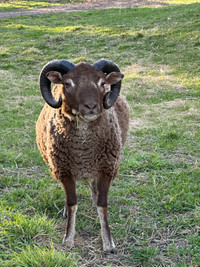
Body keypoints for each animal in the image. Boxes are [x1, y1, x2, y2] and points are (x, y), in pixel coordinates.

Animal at [35, 58, 130, 253]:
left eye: (102, 83)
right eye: (67, 83)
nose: (91, 107)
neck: (84, 149)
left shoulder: (107, 169)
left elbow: (102, 205)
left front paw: (108, 243)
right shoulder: (64, 170)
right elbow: (72, 203)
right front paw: (68, 238)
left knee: (94, 187)